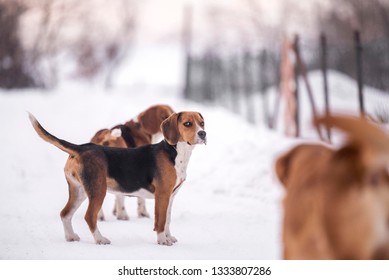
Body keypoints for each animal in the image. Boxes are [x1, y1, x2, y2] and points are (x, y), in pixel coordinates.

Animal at [28, 111, 206, 245]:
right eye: (187, 124)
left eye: (202, 123)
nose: (203, 133)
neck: (176, 151)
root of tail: (81, 148)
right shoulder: (162, 195)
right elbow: (160, 221)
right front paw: (163, 240)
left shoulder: (171, 196)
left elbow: (167, 220)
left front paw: (169, 237)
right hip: (98, 190)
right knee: (89, 217)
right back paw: (100, 239)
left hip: (79, 191)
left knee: (65, 214)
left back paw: (71, 237)